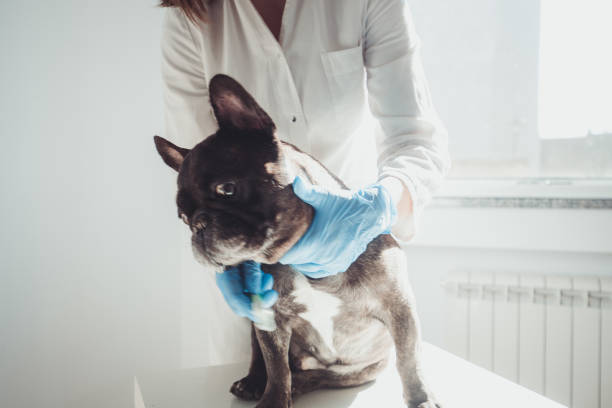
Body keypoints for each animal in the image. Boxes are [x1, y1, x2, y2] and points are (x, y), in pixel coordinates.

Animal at [155, 74, 438, 408]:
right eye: (183, 218)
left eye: (227, 189)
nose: (198, 225)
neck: (297, 259)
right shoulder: (270, 320)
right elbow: (276, 368)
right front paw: (273, 400)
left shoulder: (399, 307)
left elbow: (409, 358)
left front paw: (421, 398)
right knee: (262, 358)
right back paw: (254, 383)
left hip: (361, 369)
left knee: (323, 376)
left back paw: (300, 384)